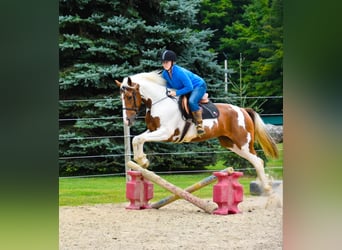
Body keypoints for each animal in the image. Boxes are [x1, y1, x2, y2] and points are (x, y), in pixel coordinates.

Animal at [115, 71, 278, 194]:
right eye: (121, 98)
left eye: (129, 97)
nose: (127, 121)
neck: (159, 102)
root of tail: (243, 110)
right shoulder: (154, 130)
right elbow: (137, 139)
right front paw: (142, 160)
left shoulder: (166, 133)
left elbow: (139, 139)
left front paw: (142, 160)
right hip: (232, 144)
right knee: (256, 160)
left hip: (243, 143)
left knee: (258, 161)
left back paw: (266, 187)